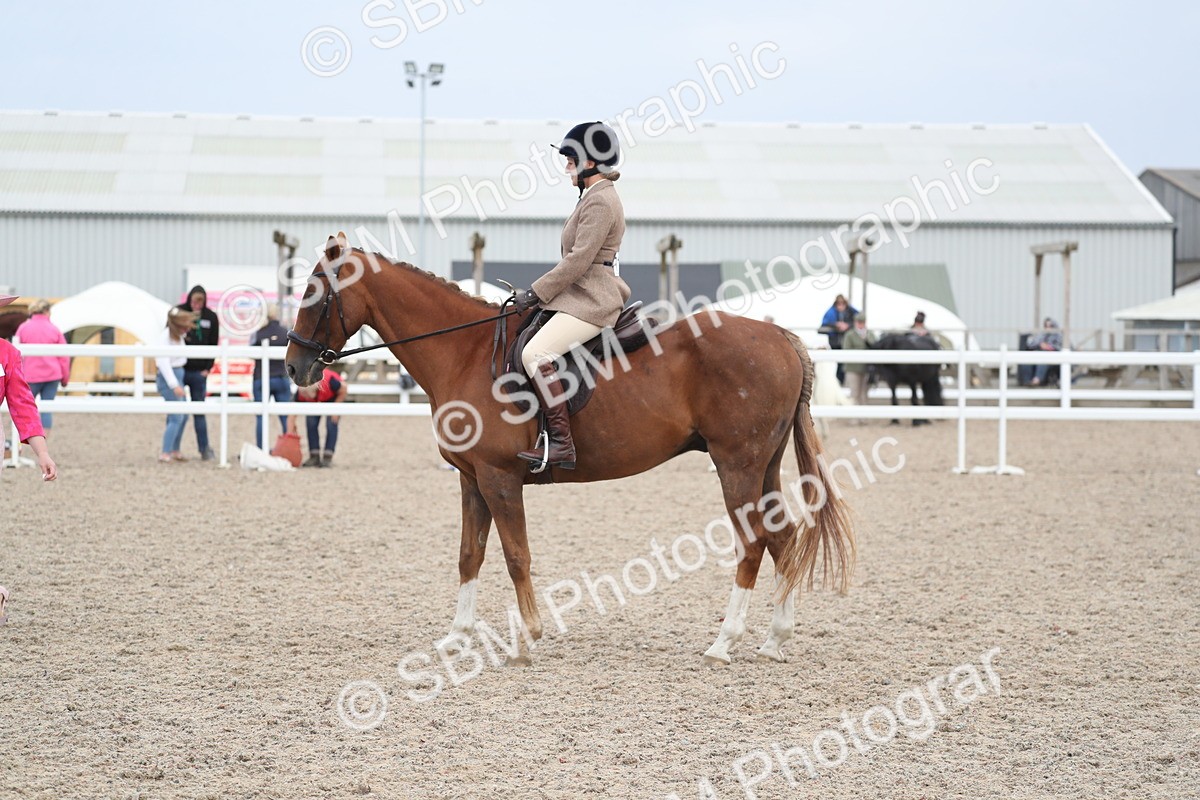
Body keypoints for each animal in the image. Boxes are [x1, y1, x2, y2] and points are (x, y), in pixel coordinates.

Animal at [284, 234, 854, 665]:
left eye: (313, 292)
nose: (294, 367)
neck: (465, 352)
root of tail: (782, 338)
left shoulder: (499, 477)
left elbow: (516, 555)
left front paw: (525, 640)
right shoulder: (471, 477)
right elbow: (470, 554)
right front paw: (457, 636)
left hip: (736, 465)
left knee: (753, 543)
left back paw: (723, 643)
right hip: (763, 466)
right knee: (782, 537)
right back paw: (774, 639)